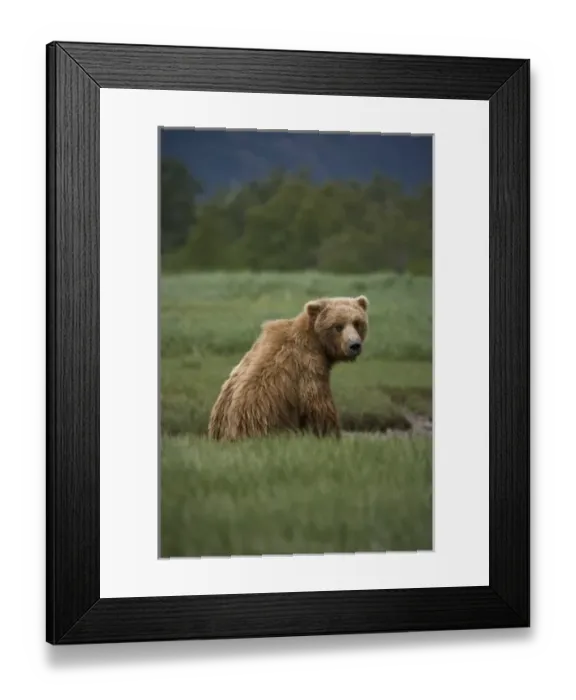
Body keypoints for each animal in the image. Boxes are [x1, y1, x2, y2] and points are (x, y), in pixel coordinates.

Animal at [208, 295, 369, 441]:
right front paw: (331, 434)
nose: (354, 345)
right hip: (259, 420)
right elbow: (317, 405)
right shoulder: (308, 367)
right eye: (338, 326)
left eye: (357, 323)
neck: (317, 342)